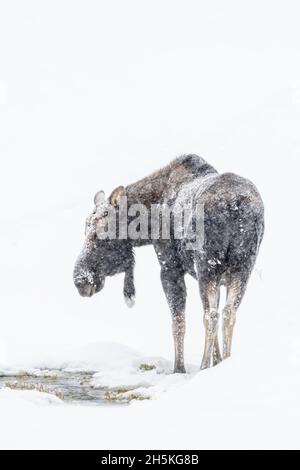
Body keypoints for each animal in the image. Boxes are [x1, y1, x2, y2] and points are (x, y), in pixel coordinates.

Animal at [74, 156, 264, 372]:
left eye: (103, 236)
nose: (80, 280)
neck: (146, 229)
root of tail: (234, 205)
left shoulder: (170, 267)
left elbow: (178, 322)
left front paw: (179, 368)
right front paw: (217, 362)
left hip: (208, 266)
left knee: (211, 316)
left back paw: (202, 366)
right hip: (242, 267)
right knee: (228, 313)